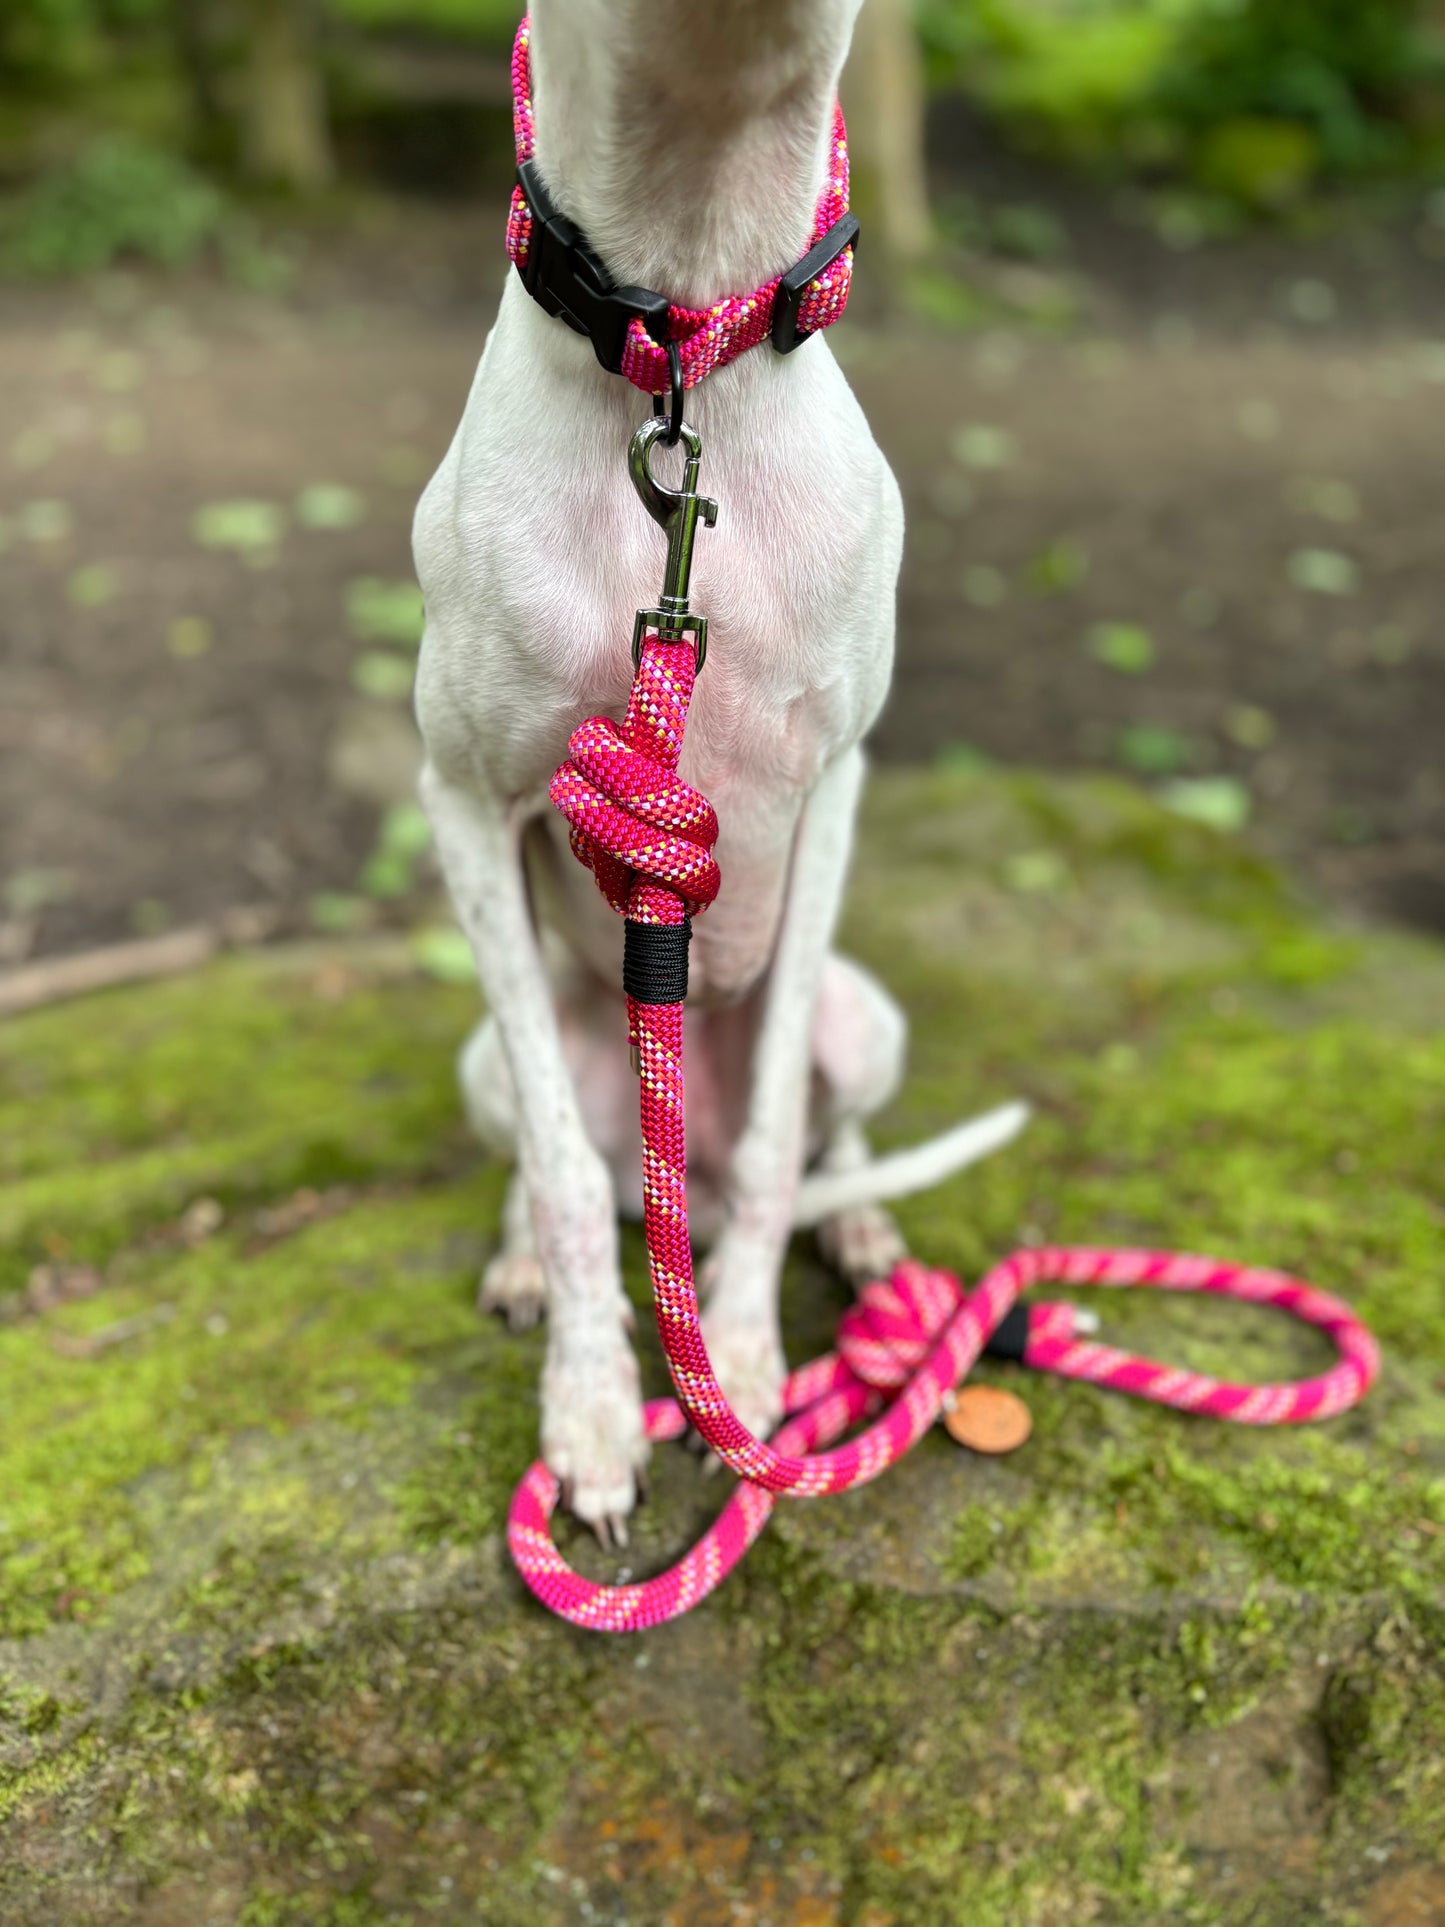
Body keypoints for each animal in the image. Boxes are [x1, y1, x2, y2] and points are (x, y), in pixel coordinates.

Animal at [408, 0, 1017, 1533]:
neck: (688, 338)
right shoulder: (459, 795)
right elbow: (559, 1170)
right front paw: (588, 1410)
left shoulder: (836, 781)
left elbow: (764, 1143)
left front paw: (734, 1367)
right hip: (493, 1055)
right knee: (553, 1153)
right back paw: (525, 1256)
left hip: (865, 1015)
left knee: (800, 1141)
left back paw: (855, 1226)